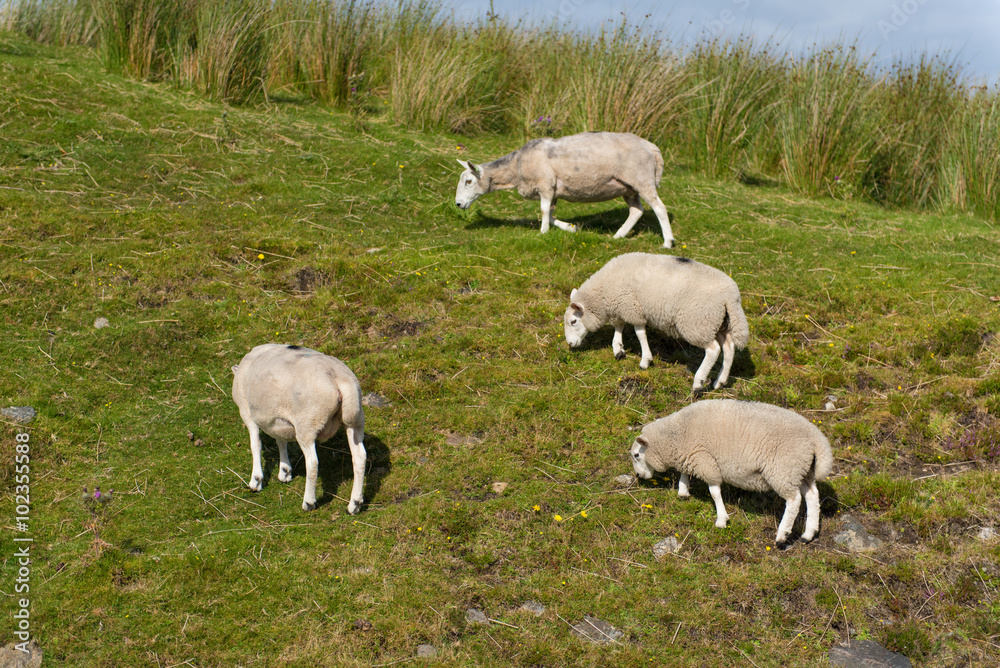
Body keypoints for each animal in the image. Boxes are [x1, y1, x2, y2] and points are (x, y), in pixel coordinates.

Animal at [231, 343, 366, 514]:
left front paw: (256, 480)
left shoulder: (247, 412)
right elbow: (281, 441)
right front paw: (285, 470)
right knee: (360, 457)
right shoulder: (278, 421)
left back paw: (308, 502)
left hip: (307, 424)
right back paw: (355, 504)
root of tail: (338, 377)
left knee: (312, 462)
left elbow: (255, 444)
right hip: (355, 421)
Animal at [454, 131, 675, 247]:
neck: (516, 167)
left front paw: (543, 233)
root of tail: (653, 148)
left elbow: (543, 211)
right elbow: (550, 214)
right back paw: (618, 236)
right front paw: (571, 228)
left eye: (468, 181)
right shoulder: (553, 190)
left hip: (642, 180)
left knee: (660, 208)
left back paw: (667, 242)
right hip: (628, 187)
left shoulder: (545, 184)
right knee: (637, 211)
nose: (457, 204)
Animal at [563, 252, 749, 391]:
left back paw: (698, 383)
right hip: (719, 322)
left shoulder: (633, 308)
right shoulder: (621, 308)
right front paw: (618, 348)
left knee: (713, 350)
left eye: (573, 321)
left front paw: (645, 360)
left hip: (697, 322)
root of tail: (731, 296)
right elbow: (618, 327)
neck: (603, 295)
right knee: (729, 348)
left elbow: (640, 333)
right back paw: (720, 381)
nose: (570, 344)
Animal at [630, 399, 834, 544]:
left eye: (636, 455)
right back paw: (808, 534)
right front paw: (683, 490)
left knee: (794, 500)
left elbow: (714, 492)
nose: (639, 476)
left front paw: (721, 519)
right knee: (812, 496)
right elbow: (684, 472)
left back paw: (782, 535)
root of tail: (816, 437)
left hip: (784, 469)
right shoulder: (692, 455)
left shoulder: (706, 461)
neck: (677, 433)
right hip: (802, 470)